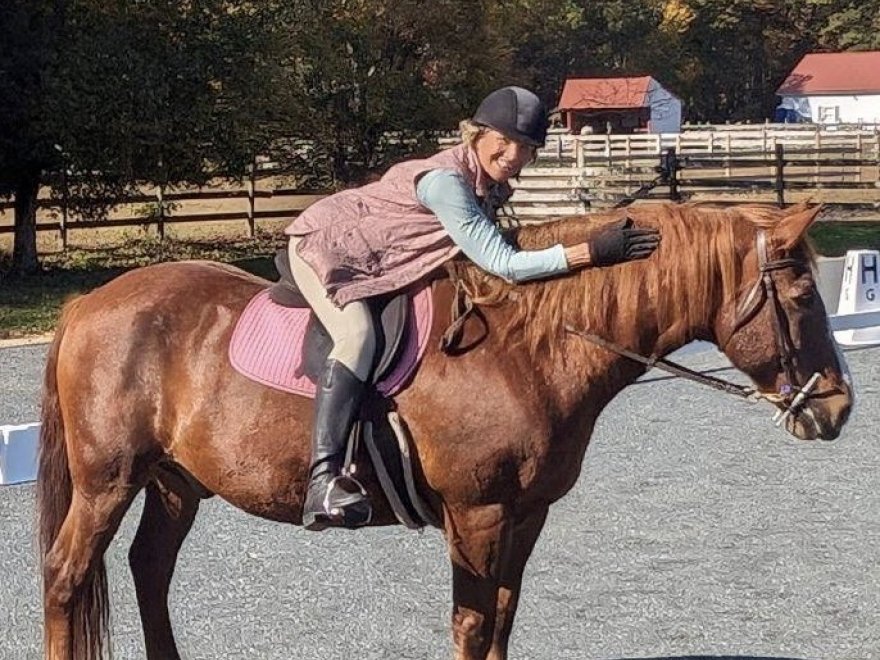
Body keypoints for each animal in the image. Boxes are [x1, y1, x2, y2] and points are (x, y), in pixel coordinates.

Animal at [37, 202, 848, 660]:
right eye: (803, 295)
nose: (838, 409)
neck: (526, 345)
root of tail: (87, 305)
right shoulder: (477, 514)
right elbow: (472, 624)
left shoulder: (525, 515)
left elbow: (503, 622)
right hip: (107, 481)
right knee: (66, 576)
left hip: (175, 482)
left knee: (149, 571)